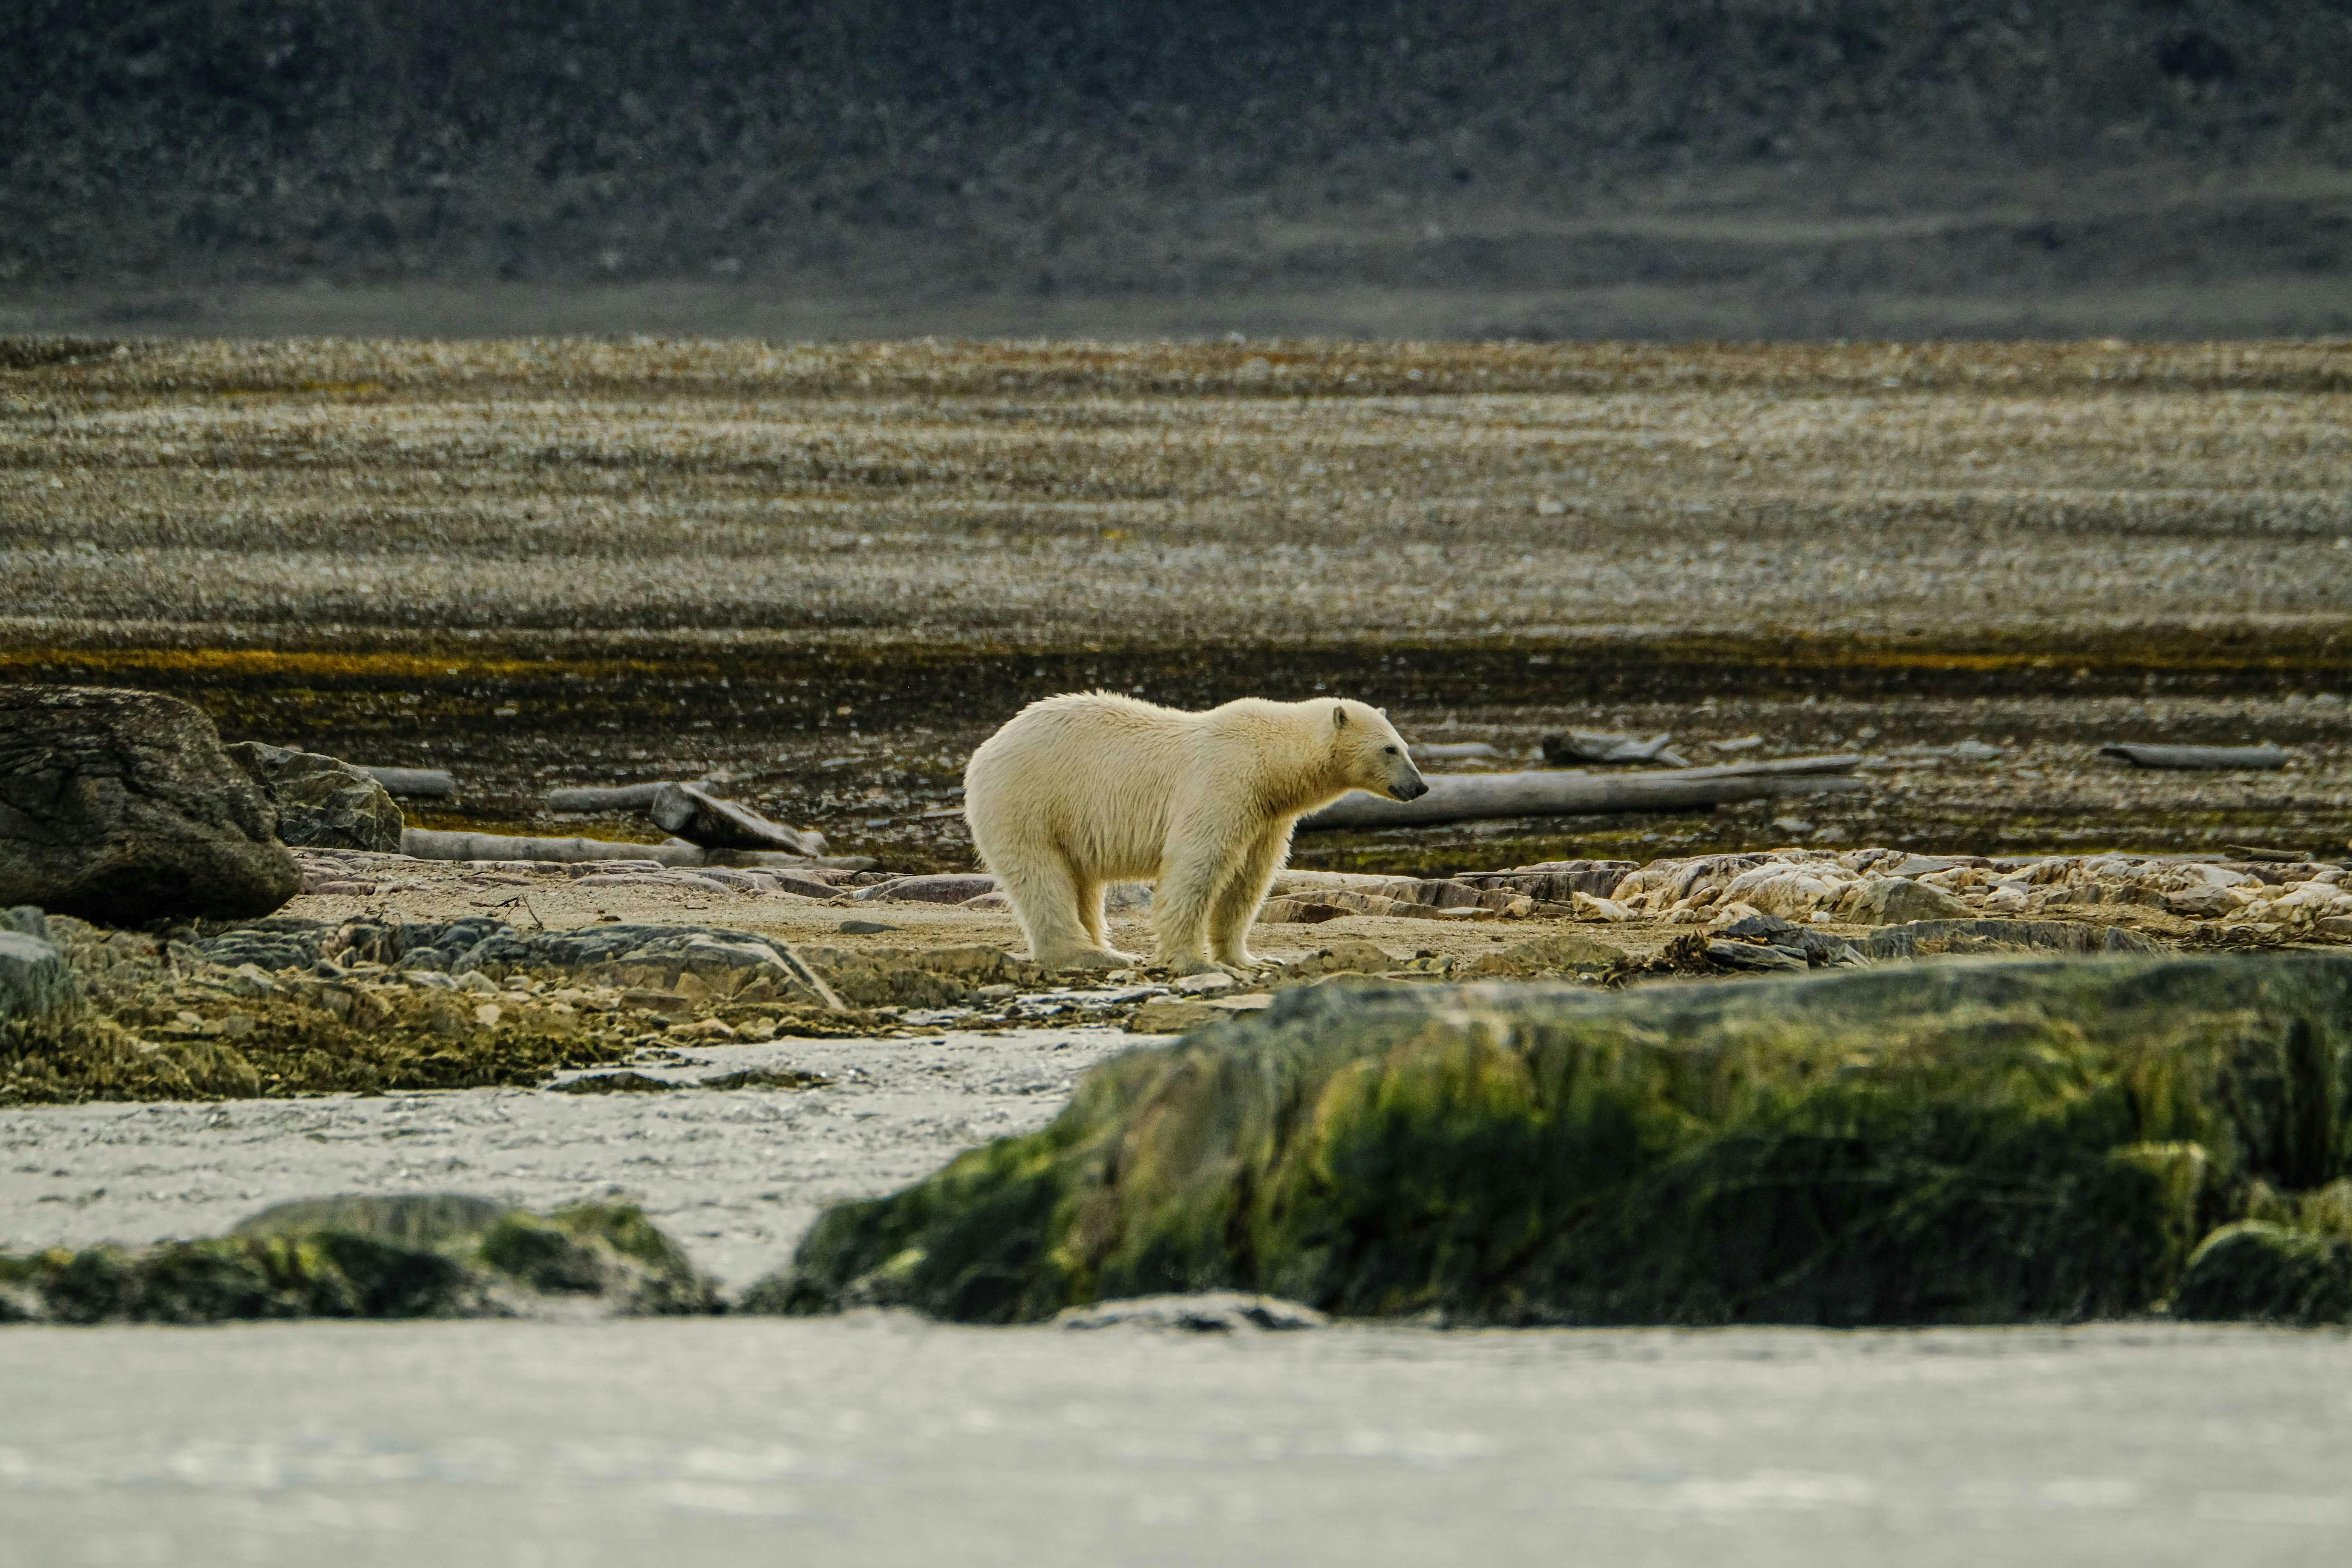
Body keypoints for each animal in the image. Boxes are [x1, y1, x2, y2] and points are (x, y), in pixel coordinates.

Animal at [964, 691, 1420, 973]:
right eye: (1390, 749)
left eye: (1405, 747)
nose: (1419, 787)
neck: (1270, 761)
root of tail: (986, 750)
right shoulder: (1223, 785)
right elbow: (1198, 867)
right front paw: (1193, 962)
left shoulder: (1266, 816)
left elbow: (1249, 881)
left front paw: (1249, 959)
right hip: (1030, 801)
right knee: (1042, 875)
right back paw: (1089, 955)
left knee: (1082, 883)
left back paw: (1107, 948)